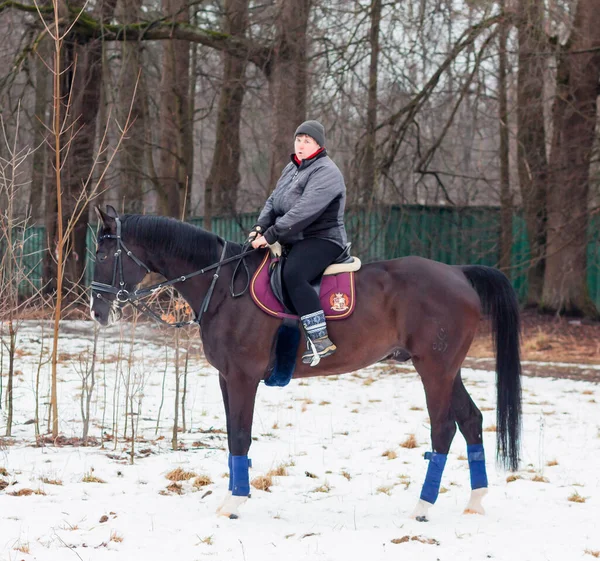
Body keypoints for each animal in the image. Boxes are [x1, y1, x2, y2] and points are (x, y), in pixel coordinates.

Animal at [88, 206, 520, 520]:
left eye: (106, 253)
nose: (96, 310)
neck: (223, 285)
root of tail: (458, 273)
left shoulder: (243, 377)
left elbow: (240, 435)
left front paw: (234, 503)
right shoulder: (227, 378)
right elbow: (232, 436)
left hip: (434, 369)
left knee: (444, 428)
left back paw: (423, 507)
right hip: (447, 370)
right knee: (472, 420)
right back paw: (475, 500)